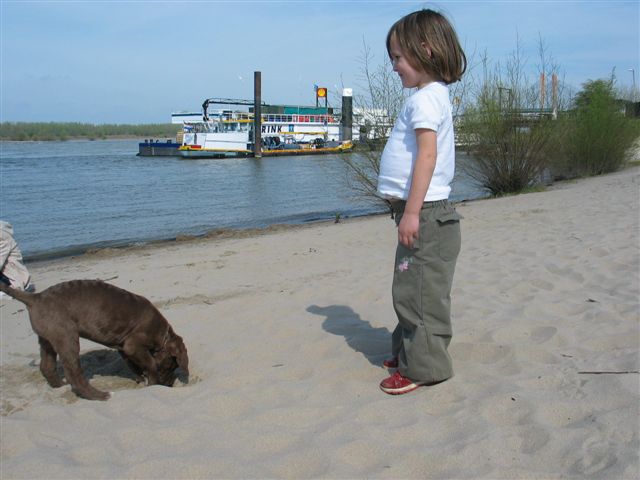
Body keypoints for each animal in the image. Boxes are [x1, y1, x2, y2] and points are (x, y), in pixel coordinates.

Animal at [0, 279, 188, 401]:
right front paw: (153, 383)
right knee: (74, 375)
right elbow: (150, 364)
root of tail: (35, 298)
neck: (163, 335)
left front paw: (141, 379)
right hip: (67, 337)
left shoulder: (123, 349)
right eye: (171, 365)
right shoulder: (132, 345)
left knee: (47, 366)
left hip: (47, 339)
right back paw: (101, 395)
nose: (170, 385)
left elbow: (134, 365)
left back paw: (59, 387)